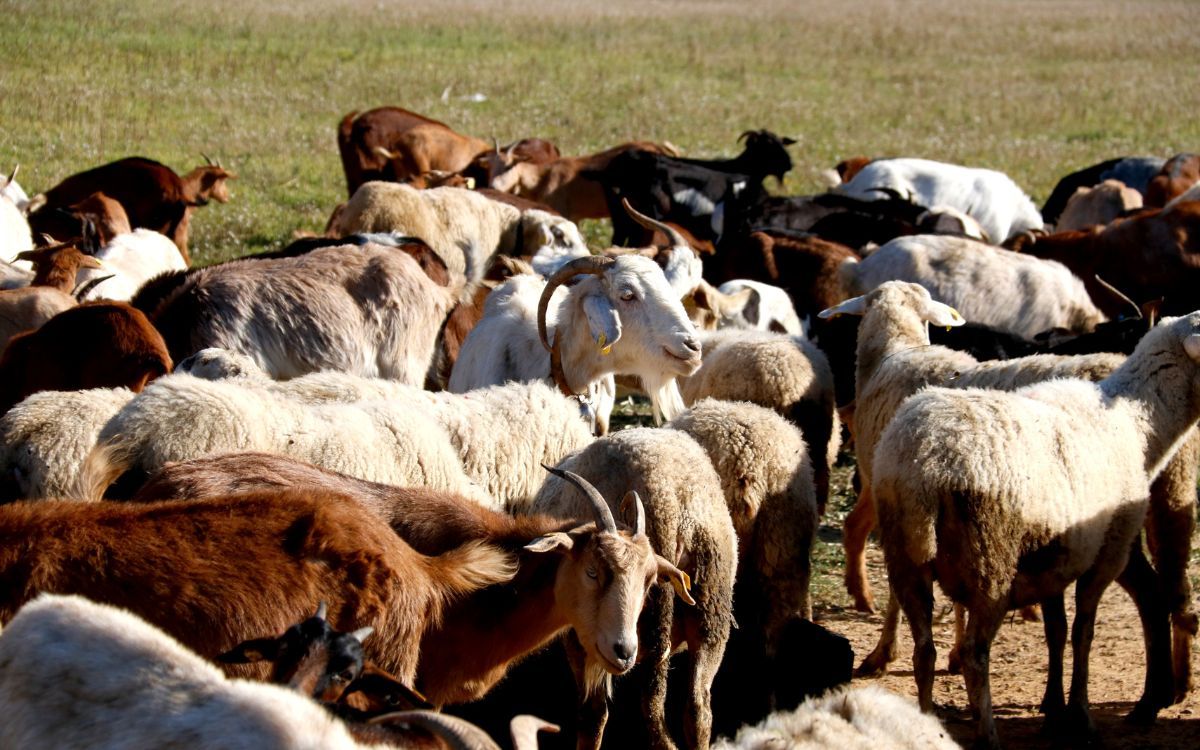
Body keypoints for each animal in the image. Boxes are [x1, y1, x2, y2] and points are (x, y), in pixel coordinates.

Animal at [873, 312, 1200, 748]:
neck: (1140, 421)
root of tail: (923, 465)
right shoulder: (1107, 552)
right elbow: (1083, 631)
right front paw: (1080, 715)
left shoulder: (1056, 557)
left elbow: (1056, 631)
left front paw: (1055, 710)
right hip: (989, 559)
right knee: (975, 653)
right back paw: (988, 735)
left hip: (904, 557)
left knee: (924, 651)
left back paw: (927, 725)